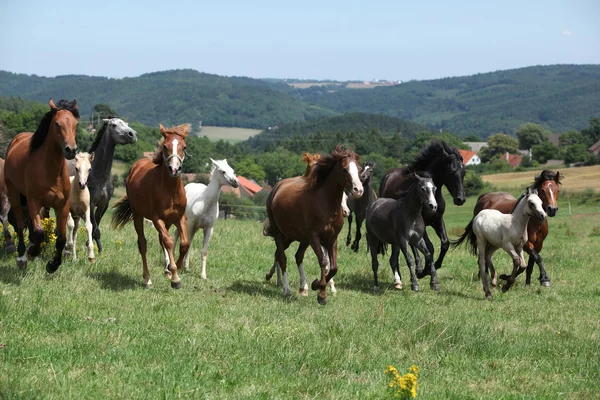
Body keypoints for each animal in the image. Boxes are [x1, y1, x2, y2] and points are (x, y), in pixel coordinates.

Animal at [3, 99, 79, 272]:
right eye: (57, 124)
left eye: (76, 124)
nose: (71, 150)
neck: (50, 172)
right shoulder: (34, 201)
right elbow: (39, 232)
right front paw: (32, 252)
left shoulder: (62, 206)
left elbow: (61, 237)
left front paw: (53, 265)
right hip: (14, 194)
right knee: (20, 224)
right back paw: (23, 256)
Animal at [67, 116, 137, 253]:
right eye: (114, 125)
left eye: (126, 124)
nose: (132, 134)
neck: (99, 176)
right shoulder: (91, 203)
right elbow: (95, 228)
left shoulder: (103, 204)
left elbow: (96, 227)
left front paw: (95, 248)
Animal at [111, 123, 189, 290]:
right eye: (165, 146)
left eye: (184, 147)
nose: (174, 169)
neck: (170, 190)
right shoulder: (156, 218)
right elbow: (169, 241)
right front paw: (175, 278)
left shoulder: (179, 217)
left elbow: (184, 243)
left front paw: (174, 269)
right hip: (138, 215)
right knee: (143, 243)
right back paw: (147, 279)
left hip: (167, 221)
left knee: (161, 240)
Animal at [266, 145, 360, 304]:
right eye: (344, 169)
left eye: (359, 168)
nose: (358, 190)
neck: (326, 204)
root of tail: (276, 187)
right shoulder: (314, 236)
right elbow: (323, 262)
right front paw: (321, 293)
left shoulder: (331, 238)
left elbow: (333, 267)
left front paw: (317, 286)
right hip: (280, 234)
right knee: (282, 257)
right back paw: (286, 289)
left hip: (298, 238)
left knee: (296, 256)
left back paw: (302, 288)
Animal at [378, 141, 466, 278]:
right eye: (451, 172)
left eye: (464, 172)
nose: (460, 199)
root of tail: (388, 176)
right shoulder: (421, 222)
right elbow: (430, 247)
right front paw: (426, 270)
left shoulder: (437, 220)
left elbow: (445, 244)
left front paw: (434, 266)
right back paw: (417, 269)